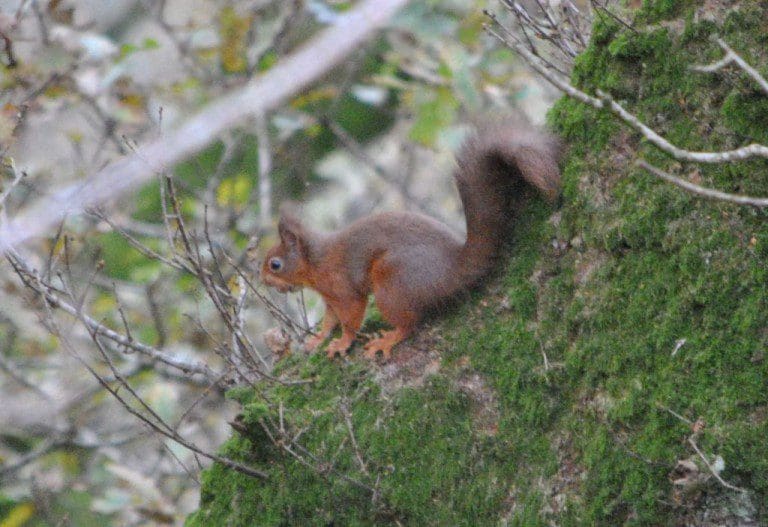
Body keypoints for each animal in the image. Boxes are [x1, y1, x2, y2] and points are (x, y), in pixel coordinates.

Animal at [259, 121, 561, 360]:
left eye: (275, 264)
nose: (262, 281)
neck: (315, 260)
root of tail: (452, 271)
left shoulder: (342, 288)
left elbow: (351, 317)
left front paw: (343, 342)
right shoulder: (329, 297)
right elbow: (329, 320)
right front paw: (318, 339)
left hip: (391, 282)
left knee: (410, 324)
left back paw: (387, 339)